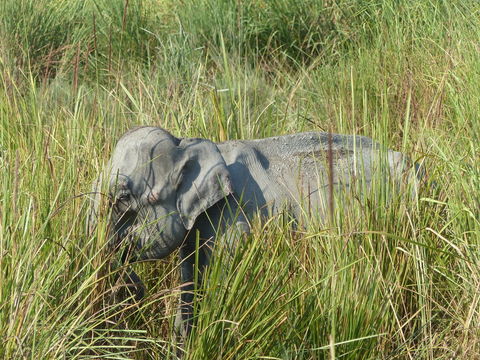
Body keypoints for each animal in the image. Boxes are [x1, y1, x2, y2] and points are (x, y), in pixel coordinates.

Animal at [88, 125, 422, 336]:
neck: (191, 143)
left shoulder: (237, 218)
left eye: (123, 198)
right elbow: (190, 281)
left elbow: (222, 285)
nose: (135, 289)